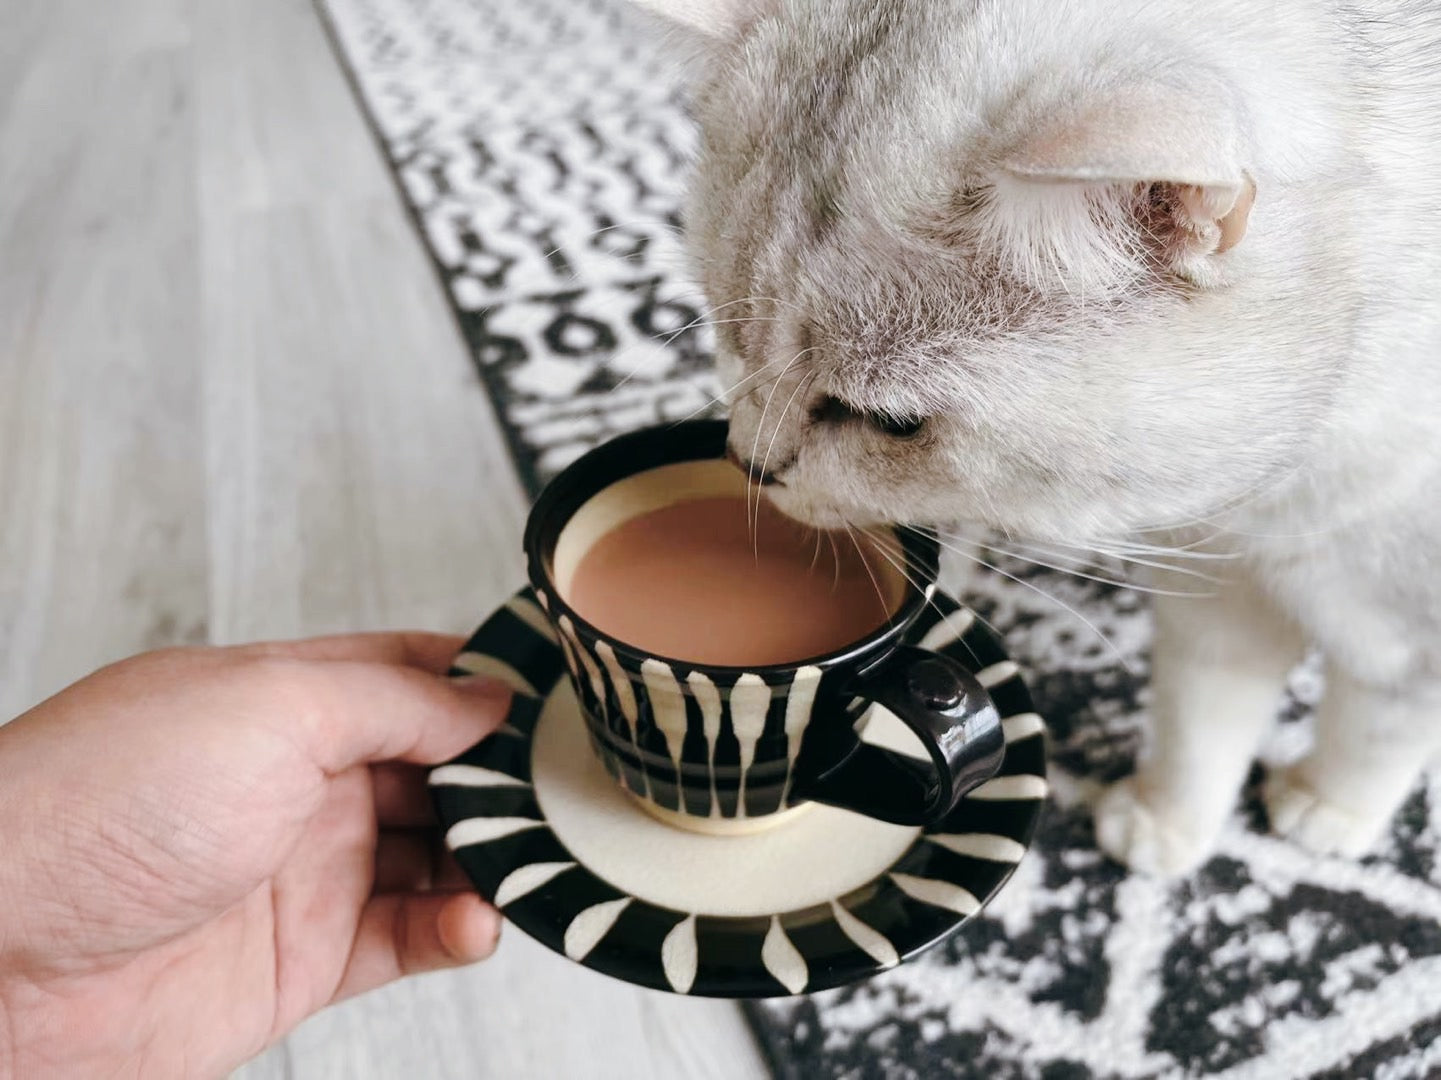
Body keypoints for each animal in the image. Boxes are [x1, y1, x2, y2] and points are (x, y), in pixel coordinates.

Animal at [634, 0, 1441, 876]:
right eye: (729, 339)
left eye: (891, 422)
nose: (748, 464)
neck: (1273, 505)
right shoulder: (1217, 599)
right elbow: (1202, 721)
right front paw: (1165, 823)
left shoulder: (1403, 641)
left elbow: (1372, 734)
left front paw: (1326, 808)